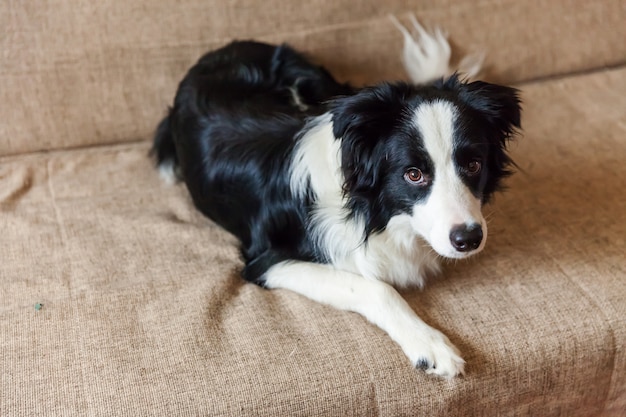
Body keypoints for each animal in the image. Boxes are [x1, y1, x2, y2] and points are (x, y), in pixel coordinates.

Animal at [154, 20, 520, 376]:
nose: (469, 239)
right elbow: (376, 288)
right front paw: (430, 346)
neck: (372, 212)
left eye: (473, 165)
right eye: (414, 174)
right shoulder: (266, 261)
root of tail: (221, 50)